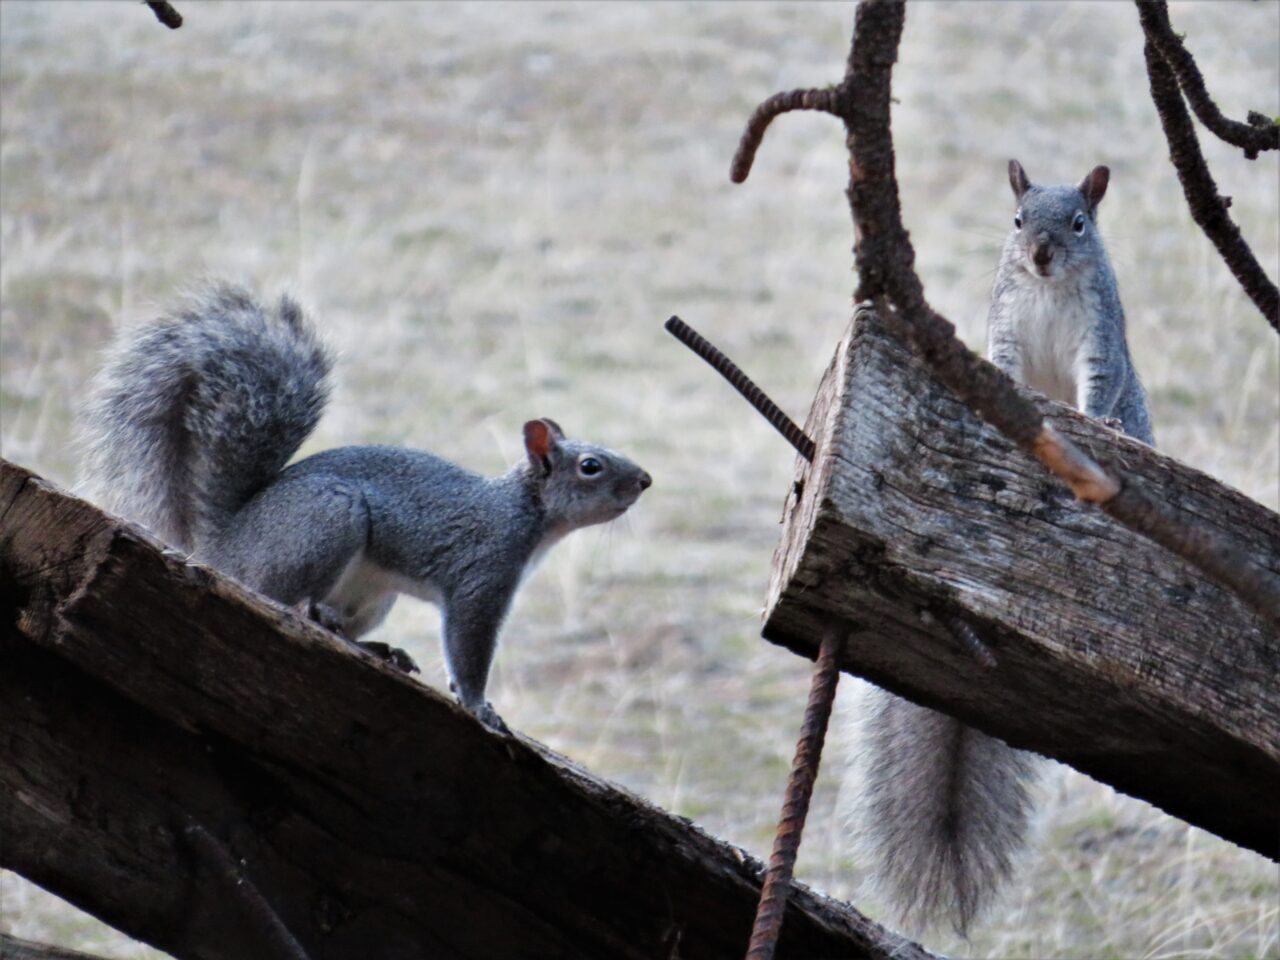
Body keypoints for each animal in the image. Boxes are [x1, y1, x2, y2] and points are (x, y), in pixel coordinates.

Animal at [79, 281, 651, 733]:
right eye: (592, 466)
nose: (645, 481)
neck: (524, 511)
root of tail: (228, 543)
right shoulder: (482, 572)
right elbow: (468, 647)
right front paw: (479, 705)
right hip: (328, 522)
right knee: (282, 598)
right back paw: (316, 614)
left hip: (375, 592)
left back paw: (377, 649)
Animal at [846, 161, 1155, 936]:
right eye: (1017, 221)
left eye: (1079, 223)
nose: (1040, 255)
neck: (1045, 289)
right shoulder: (1006, 324)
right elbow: (1006, 368)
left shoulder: (1100, 338)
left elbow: (1097, 387)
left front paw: (1096, 424)